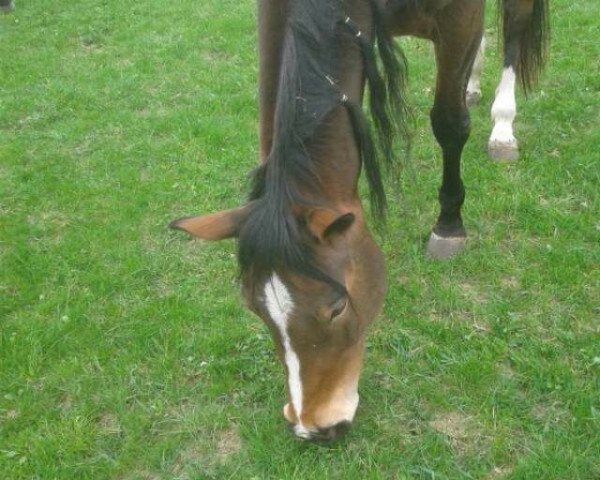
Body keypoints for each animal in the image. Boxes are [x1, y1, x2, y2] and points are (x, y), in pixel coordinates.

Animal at [169, 0, 548, 442]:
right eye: (254, 308)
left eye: (335, 307)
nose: (313, 427)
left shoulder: (457, 19)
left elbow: (449, 123)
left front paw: (449, 225)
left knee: (515, 30)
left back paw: (502, 127)